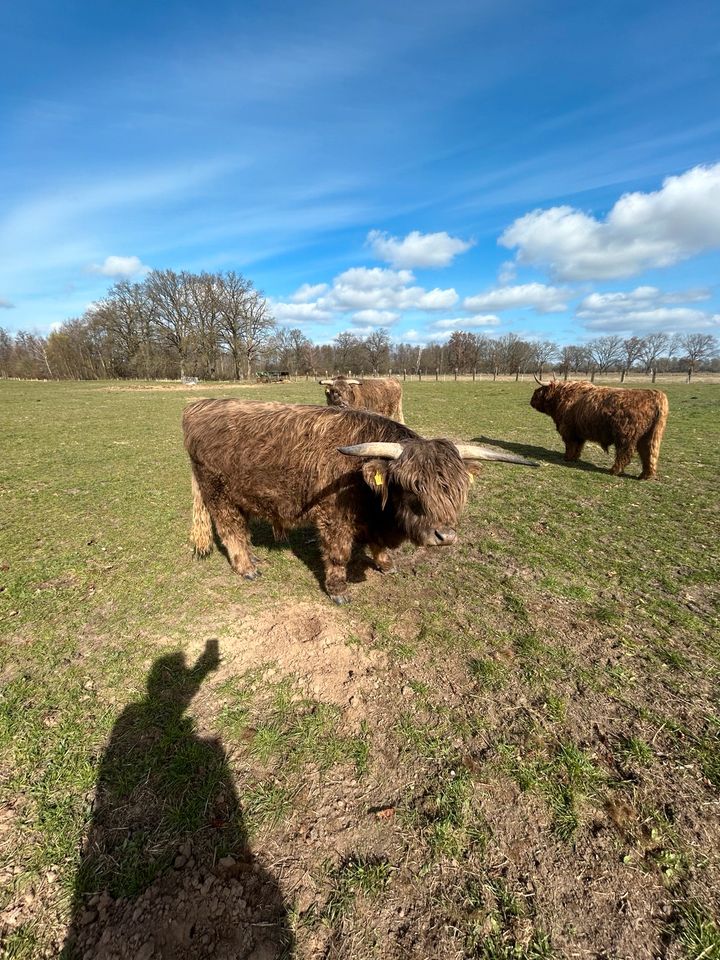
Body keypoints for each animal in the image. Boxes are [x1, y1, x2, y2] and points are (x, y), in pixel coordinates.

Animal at [183, 402, 536, 604]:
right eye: (412, 489)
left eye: (456, 490)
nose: (445, 536)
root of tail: (199, 405)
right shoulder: (334, 516)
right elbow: (338, 553)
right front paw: (338, 590)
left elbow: (378, 544)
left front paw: (386, 564)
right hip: (217, 492)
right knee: (230, 527)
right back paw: (247, 568)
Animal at [528, 376, 668, 478]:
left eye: (538, 391)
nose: (531, 400)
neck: (561, 398)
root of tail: (656, 396)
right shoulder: (579, 432)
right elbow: (578, 446)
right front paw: (574, 458)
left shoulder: (568, 429)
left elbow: (570, 445)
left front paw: (567, 458)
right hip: (650, 436)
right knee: (649, 453)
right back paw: (645, 475)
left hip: (626, 435)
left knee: (624, 453)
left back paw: (614, 470)